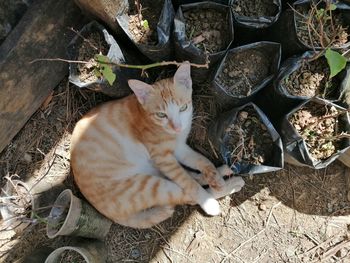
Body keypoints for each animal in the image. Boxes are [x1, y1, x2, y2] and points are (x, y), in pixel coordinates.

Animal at [71, 63, 245, 229]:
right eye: (161, 115)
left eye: (183, 108)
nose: (177, 127)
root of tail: (109, 215)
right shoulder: (163, 158)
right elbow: (189, 183)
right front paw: (209, 200)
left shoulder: (179, 147)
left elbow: (201, 160)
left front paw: (214, 174)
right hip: (147, 186)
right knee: (185, 193)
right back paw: (226, 188)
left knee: (191, 177)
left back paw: (222, 174)